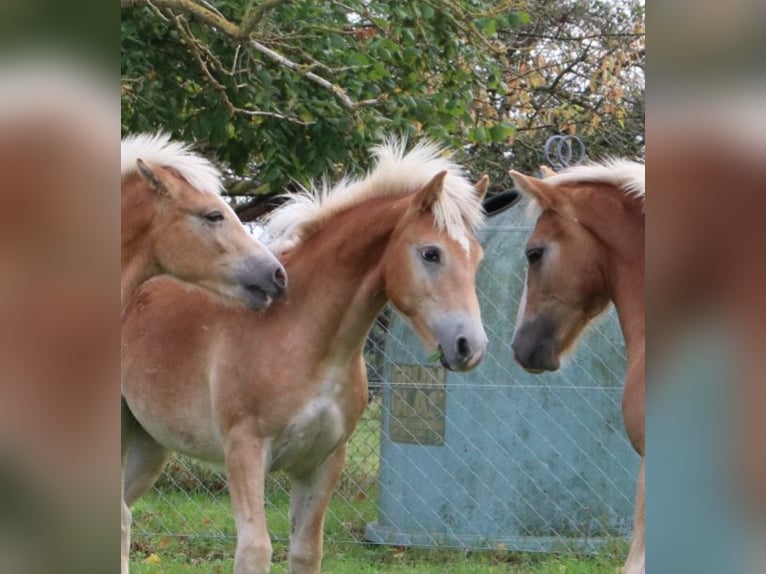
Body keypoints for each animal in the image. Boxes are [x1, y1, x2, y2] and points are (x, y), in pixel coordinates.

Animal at [121, 141, 492, 574]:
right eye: (431, 253)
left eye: (478, 258)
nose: (470, 346)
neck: (305, 338)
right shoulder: (245, 452)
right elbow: (255, 550)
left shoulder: (322, 462)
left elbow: (306, 551)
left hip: (148, 444)